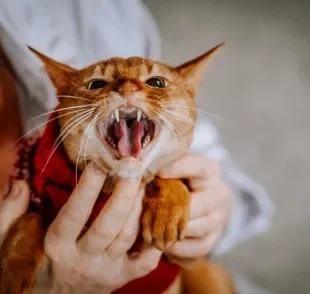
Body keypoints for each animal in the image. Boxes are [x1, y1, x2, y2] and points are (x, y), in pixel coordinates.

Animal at [0, 44, 234, 294]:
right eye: (96, 84)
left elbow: (166, 175)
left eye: (157, 82)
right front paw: (12, 269)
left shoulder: (183, 261)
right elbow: (30, 219)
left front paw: (167, 211)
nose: (127, 88)